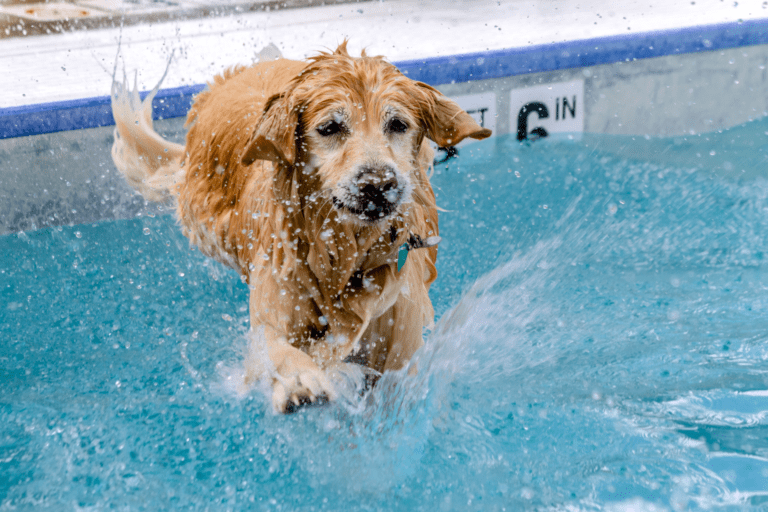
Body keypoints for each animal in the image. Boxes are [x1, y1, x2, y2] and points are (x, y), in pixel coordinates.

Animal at [110, 42, 488, 414]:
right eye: (330, 128)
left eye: (397, 124)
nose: (378, 184)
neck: (345, 259)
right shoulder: (275, 306)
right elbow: (276, 348)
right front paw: (299, 380)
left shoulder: (398, 343)